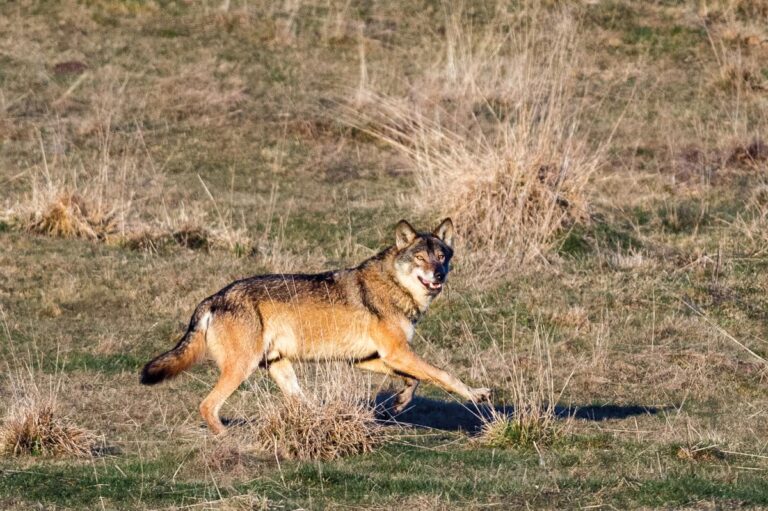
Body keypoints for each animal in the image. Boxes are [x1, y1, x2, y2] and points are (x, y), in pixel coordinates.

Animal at [140, 218, 492, 434]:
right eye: (421, 258)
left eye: (441, 256)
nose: (438, 275)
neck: (395, 286)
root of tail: (213, 298)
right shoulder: (396, 352)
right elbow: (444, 375)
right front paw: (477, 395)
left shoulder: (370, 359)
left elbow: (415, 380)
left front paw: (400, 403)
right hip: (242, 368)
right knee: (207, 406)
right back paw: (230, 440)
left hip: (280, 368)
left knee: (300, 402)